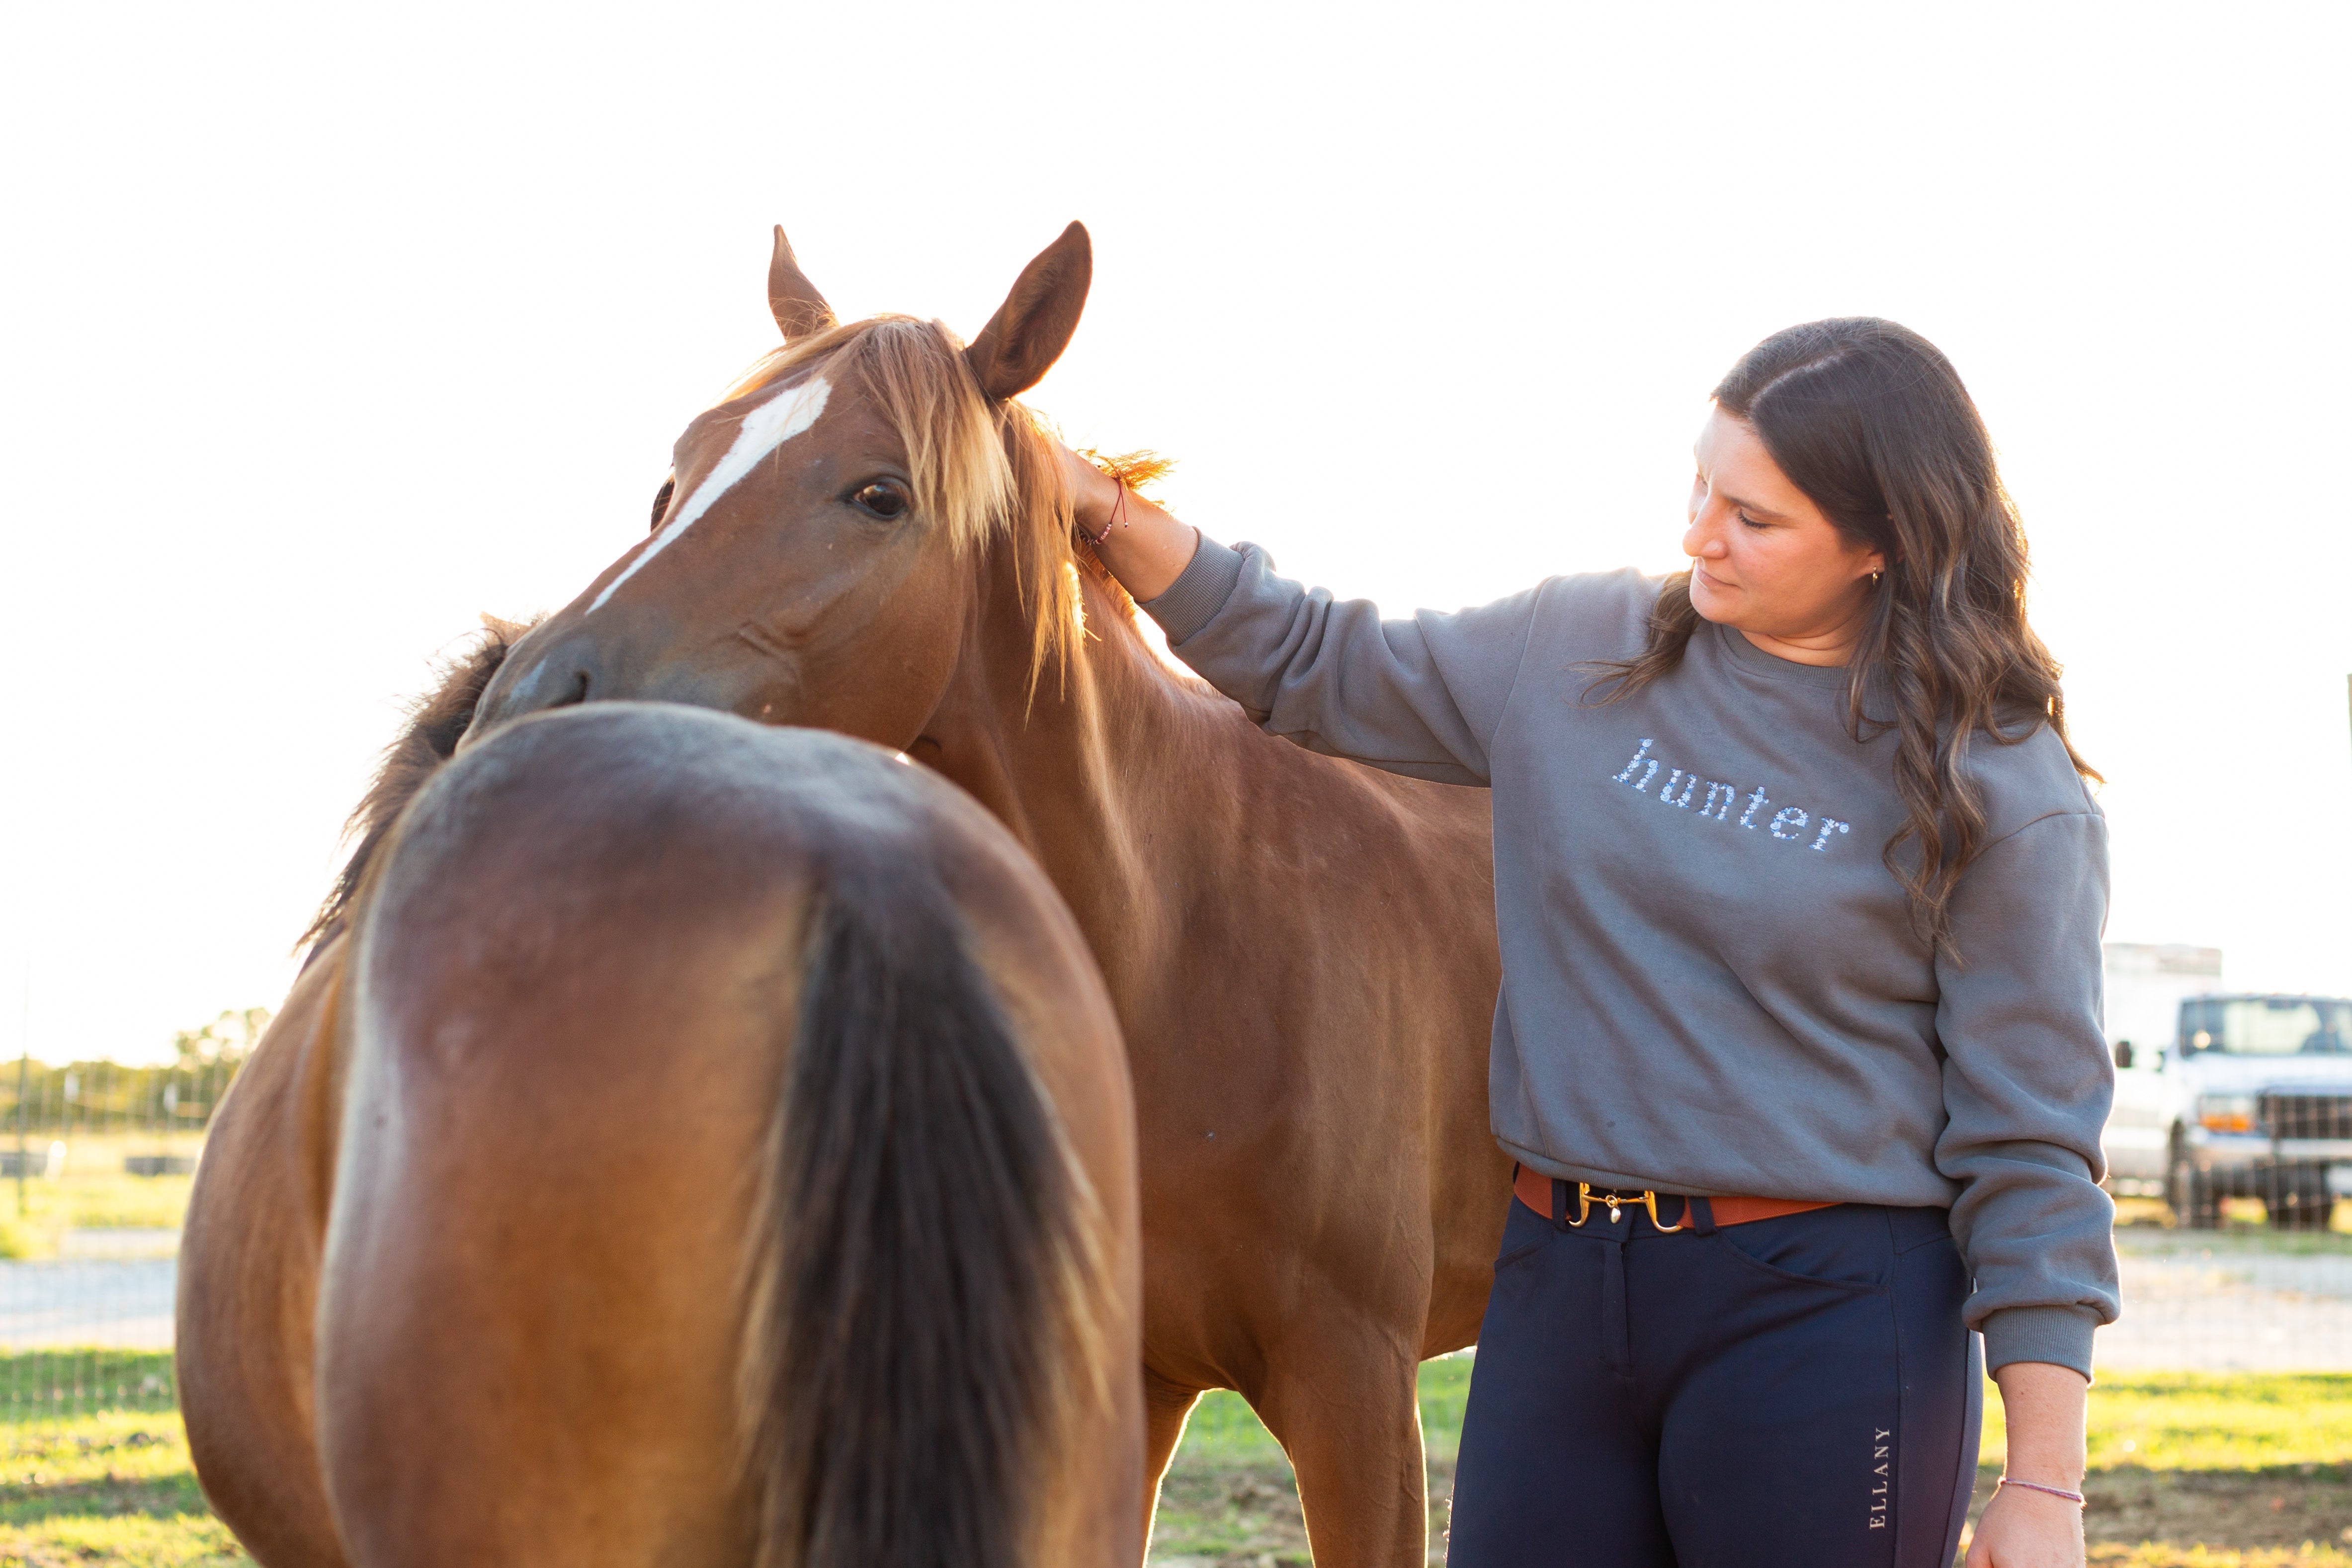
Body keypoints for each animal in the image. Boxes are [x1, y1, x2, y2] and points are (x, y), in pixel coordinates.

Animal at [463, 227, 1505, 1561]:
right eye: (677, 475)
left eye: (878, 492)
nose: (523, 708)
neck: (1188, 938)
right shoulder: (1129, 1394)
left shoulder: (1359, 1393)